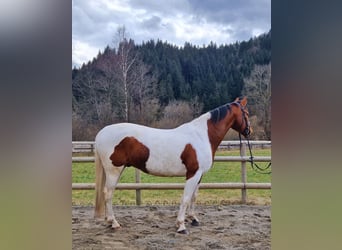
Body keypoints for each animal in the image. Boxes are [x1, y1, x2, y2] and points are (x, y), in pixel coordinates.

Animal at [93, 96, 251, 234]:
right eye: (247, 114)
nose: (249, 131)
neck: (202, 136)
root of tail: (101, 133)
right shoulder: (193, 173)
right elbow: (185, 198)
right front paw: (181, 226)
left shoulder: (199, 175)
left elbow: (194, 196)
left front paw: (193, 219)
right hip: (114, 170)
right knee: (108, 194)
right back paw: (114, 223)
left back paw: (109, 221)